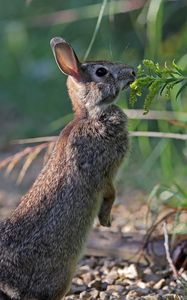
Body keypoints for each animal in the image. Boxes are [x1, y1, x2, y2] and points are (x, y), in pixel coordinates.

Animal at [0, 37, 135, 300]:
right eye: (101, 71)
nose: (133, 72)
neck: (91, 116)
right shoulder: (102, 171)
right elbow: (110, 192)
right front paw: (106, 220)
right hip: (61, 277)